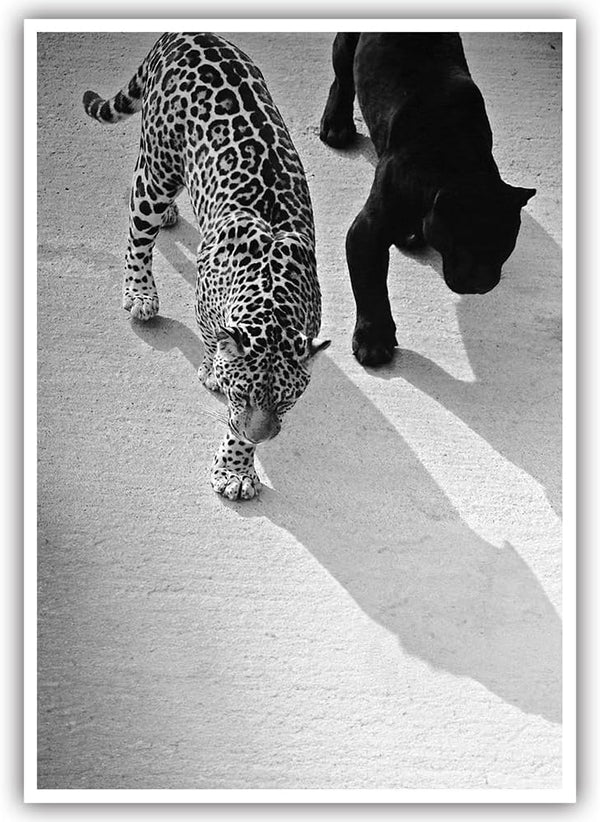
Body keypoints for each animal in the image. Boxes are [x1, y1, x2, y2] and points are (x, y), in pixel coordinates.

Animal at [83, 32, 330, 501]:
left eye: (285, 400)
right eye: (242, 393)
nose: (260, 434)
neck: (272, 293)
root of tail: (187, 34)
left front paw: (237, 466)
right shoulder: (209, 307)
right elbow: (214, 343)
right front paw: (214, 372)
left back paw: (169, 217)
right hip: (156, 166)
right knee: (138, 228)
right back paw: (140, 292)